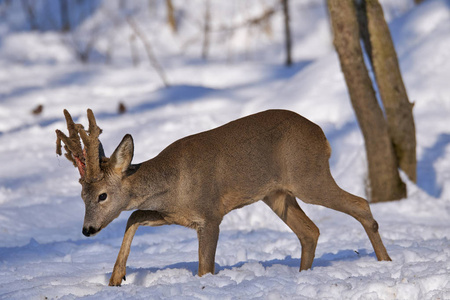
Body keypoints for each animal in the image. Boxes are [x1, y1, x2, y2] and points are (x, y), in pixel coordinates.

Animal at [55, 108, 390, 286]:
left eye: (102, 195)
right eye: (81, 196)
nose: (87, 230)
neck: (174, 184)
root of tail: (322, 135)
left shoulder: (211, 214)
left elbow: (205, 267)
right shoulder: (175, 215)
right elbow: (134, 216)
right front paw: (116, 278)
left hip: (308, 176)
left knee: (360, 204)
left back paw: (385, 261)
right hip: (276, 194)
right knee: (310, 231)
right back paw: (302, 276)